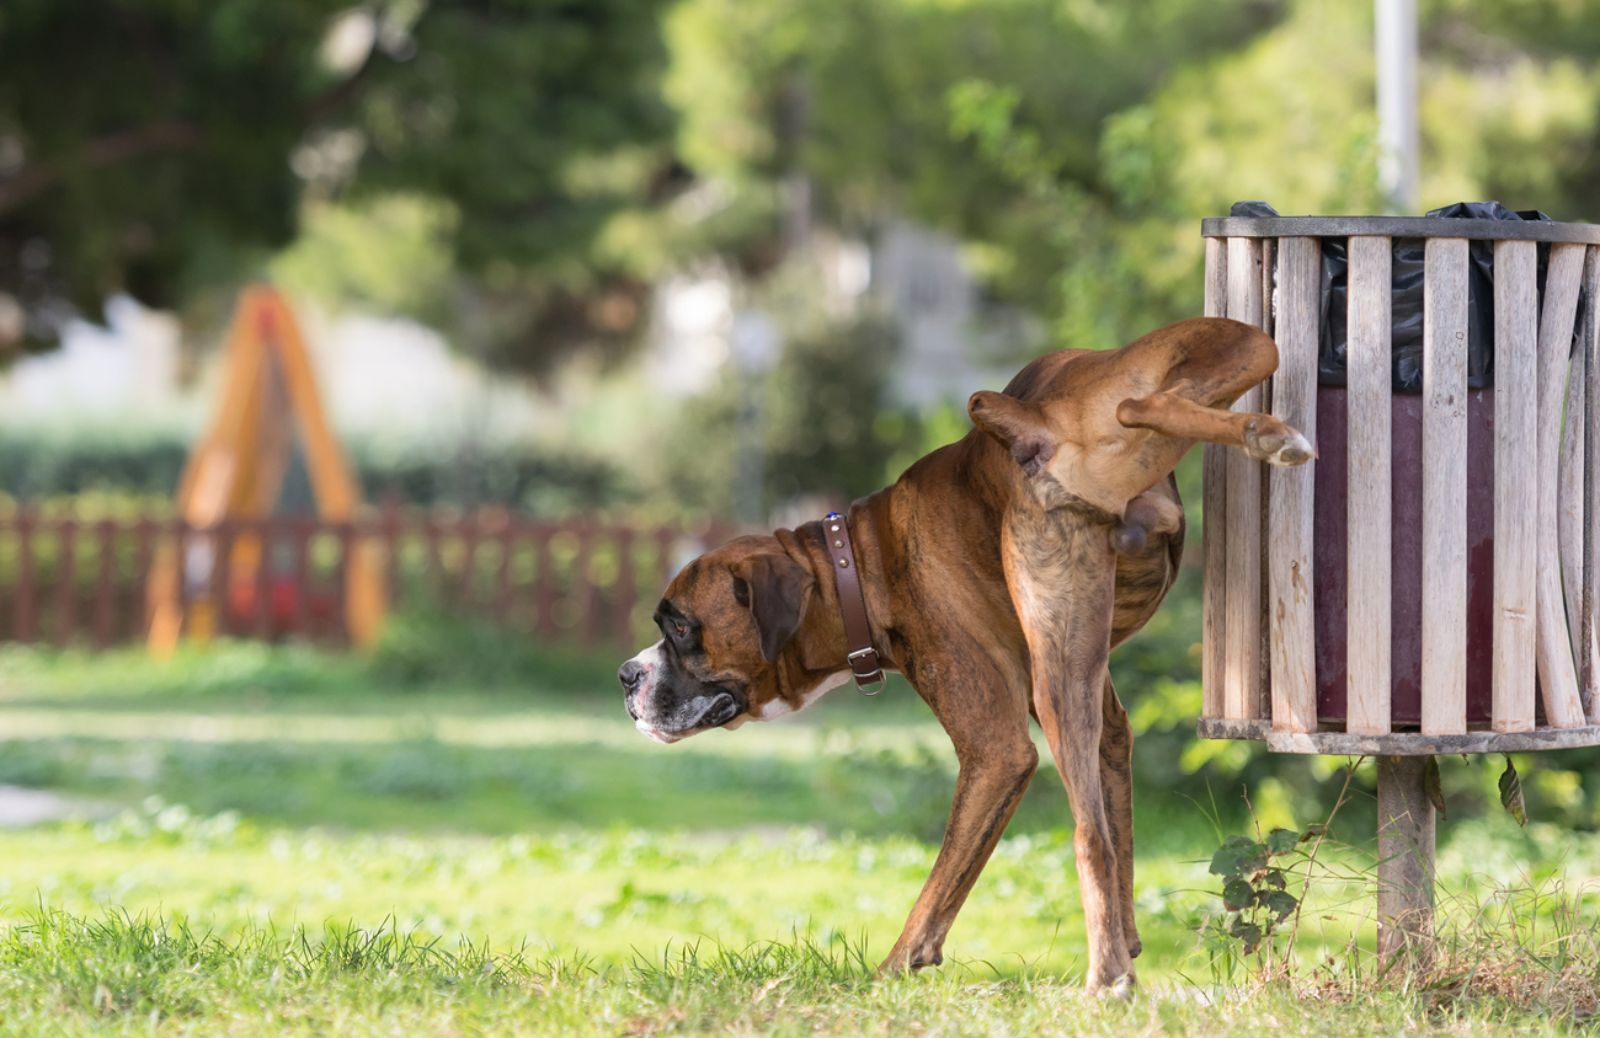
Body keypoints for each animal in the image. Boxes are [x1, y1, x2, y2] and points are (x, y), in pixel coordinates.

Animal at [617, 313, 1305, 985]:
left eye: (680, 627)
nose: (626, 674)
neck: (856, 563)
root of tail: (1034, 419)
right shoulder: (1106, 722)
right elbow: (1120, 828)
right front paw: (1130, 942)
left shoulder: (995, 751)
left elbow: (941, 885)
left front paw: (891, 971)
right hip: (1237, 349)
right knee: (1148, 401)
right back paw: (1264, 433)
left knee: (1088, 838)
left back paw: (1103, 980)